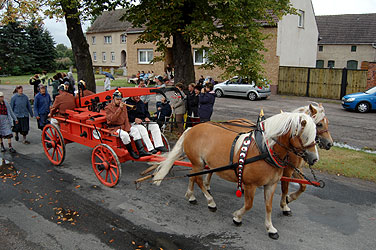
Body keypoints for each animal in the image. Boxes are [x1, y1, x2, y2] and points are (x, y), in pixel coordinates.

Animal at [153, 112, 318, 239]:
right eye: (305, 136)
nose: (315, 159)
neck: (264, 150)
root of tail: (192, 128)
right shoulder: (251, 185)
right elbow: (249, 205)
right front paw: (237, 217)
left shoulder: (271, 184)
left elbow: (269, 206)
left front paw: (270, 228)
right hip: (198, 162)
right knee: (198, 179)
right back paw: (210, 202)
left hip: (198, 164)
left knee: (193, 177)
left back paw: (191, 195)